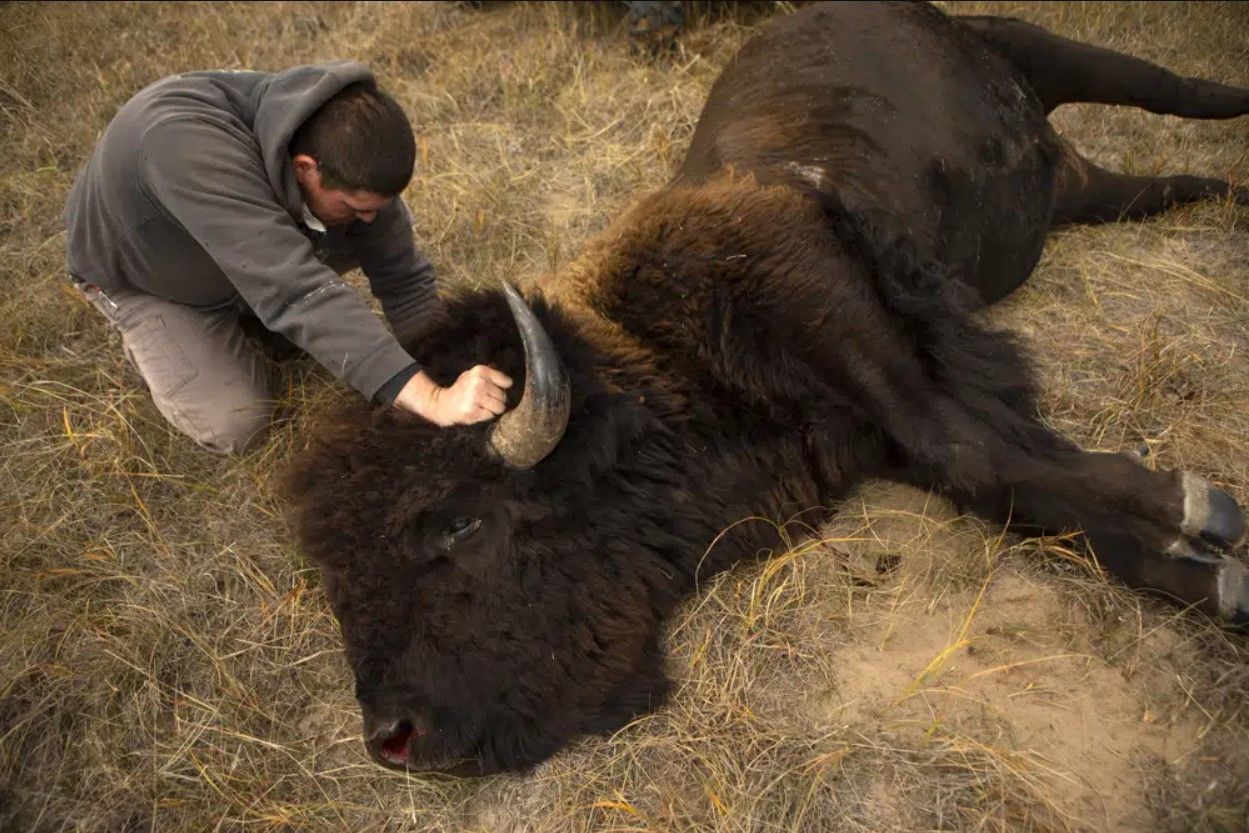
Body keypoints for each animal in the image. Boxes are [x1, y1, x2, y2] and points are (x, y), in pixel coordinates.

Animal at [286, 3, 1249, 779]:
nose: (393, 737)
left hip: (1051, 52)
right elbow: (1004, 479)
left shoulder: (843, 319)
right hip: (1073, 190)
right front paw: (1199, 558)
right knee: (1160, 183)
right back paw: (1221, 192)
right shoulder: (873, 428)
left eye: (458, 523)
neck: (656, 360)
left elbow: (976, 447)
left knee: (1179, 87)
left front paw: (1202, 518)